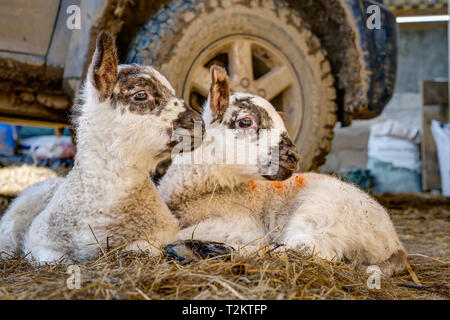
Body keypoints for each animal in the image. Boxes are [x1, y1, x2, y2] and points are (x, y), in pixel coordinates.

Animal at [0, 31, 204, 264]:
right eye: (141, 95)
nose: (200, 123)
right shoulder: (40, 240)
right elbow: (53, 258)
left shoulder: (162, 233)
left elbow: (141, 248)